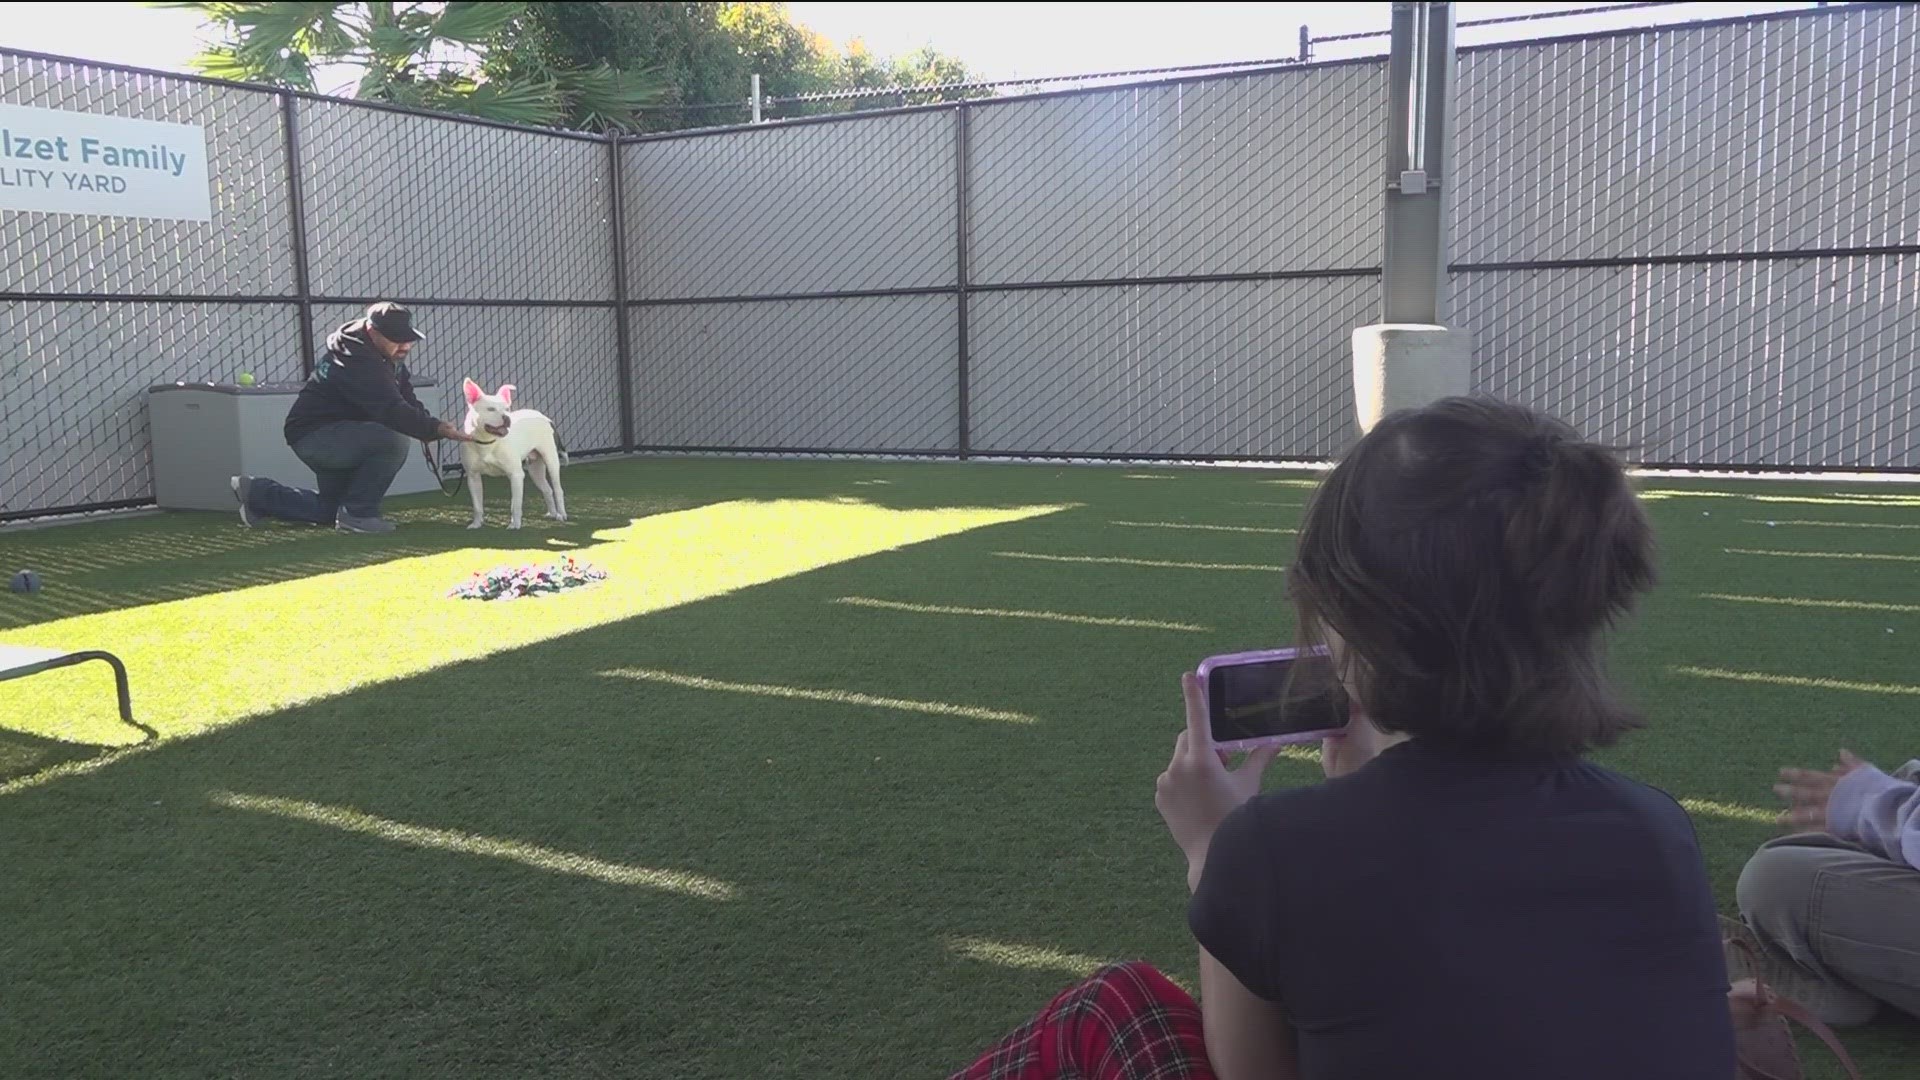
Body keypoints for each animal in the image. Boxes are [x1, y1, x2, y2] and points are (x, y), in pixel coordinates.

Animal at [458, 378, 564, 530]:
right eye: (491, 409)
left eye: (507, 409)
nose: (507, 417)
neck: (487, 443)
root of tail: (544, 417)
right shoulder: (473, 477)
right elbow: (477, 505)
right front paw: (476, 524)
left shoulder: (516, 475)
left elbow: (516, 504)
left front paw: (515, 525)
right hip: (535, 469)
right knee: (547, 490)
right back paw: (553, 513)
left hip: (551, 461)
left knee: (557, 489)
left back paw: (561, 515)